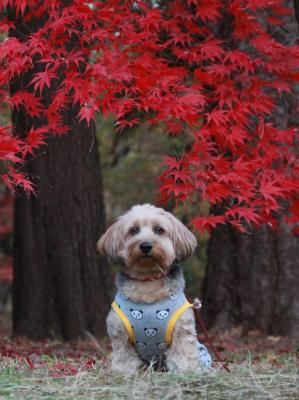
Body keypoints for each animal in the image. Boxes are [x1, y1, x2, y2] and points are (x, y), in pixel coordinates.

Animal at [98, 205, 211, 374]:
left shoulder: (182, 331)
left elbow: (183, 356)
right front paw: (123, 374)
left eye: (159, 229)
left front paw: (186, 374)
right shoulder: (120, 333)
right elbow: (125, 360)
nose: (145, 245)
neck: (148, 281)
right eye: (133, 230)